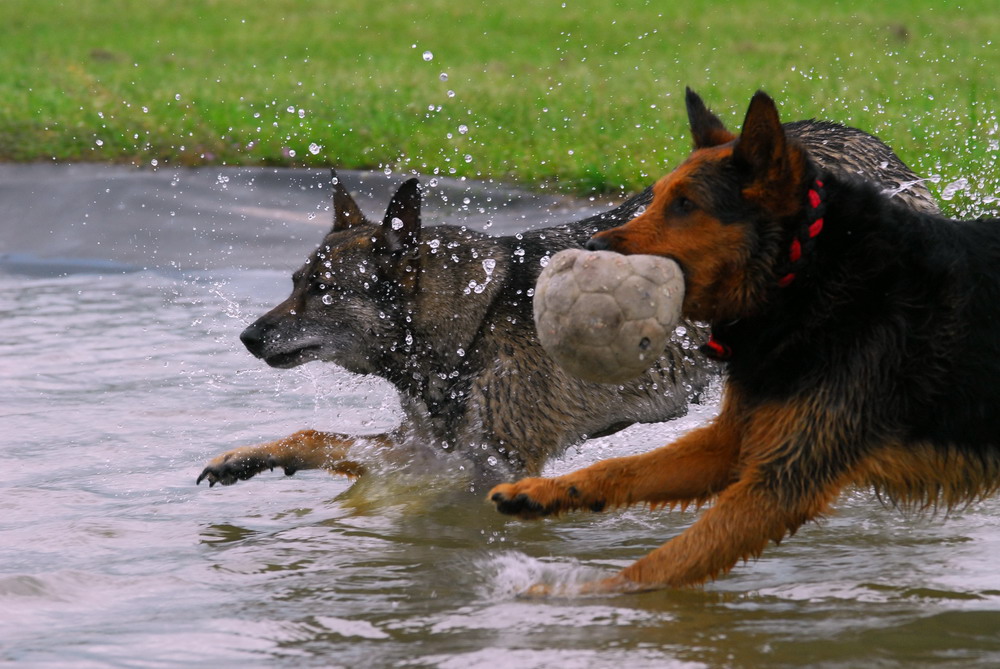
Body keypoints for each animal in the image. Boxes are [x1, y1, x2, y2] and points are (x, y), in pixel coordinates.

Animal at [197, 90, 936, 486]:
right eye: (296, 281)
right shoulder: (432, 449)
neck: (472, 316)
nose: (248, 336)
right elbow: (316, 434)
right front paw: (247, 456)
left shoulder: (495, 467)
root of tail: (876, 150)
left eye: (323, 290)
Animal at [490, 88, 1000, 596]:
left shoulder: (783, 483)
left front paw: (580, 594)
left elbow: (664, 562)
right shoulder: (732, 442)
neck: (805, 272)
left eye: (685, 204)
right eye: (657, 197)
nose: (591, 250)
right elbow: (622, 468)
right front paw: (540, 492)